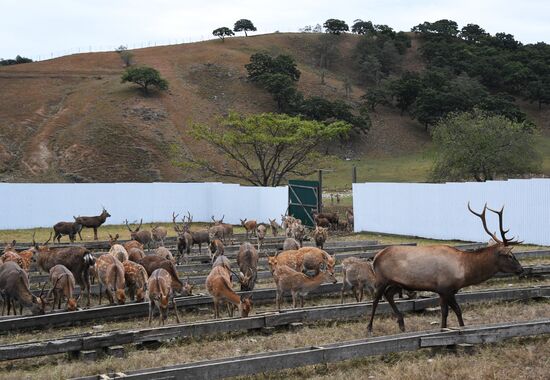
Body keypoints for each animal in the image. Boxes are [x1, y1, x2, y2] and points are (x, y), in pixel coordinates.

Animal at [368, 203, 524, 334]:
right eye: (509, 255)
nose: (521, 269)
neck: (464, 271)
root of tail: (376, 257)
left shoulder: (443, 290)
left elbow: (446, 311)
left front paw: (444, 328)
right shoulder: (446, 288)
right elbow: (456, 310)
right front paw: (459, 328)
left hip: (397, 282)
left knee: (388, 294)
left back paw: (401, 324)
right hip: (382, 278)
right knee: (376, 299)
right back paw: (370, 328)